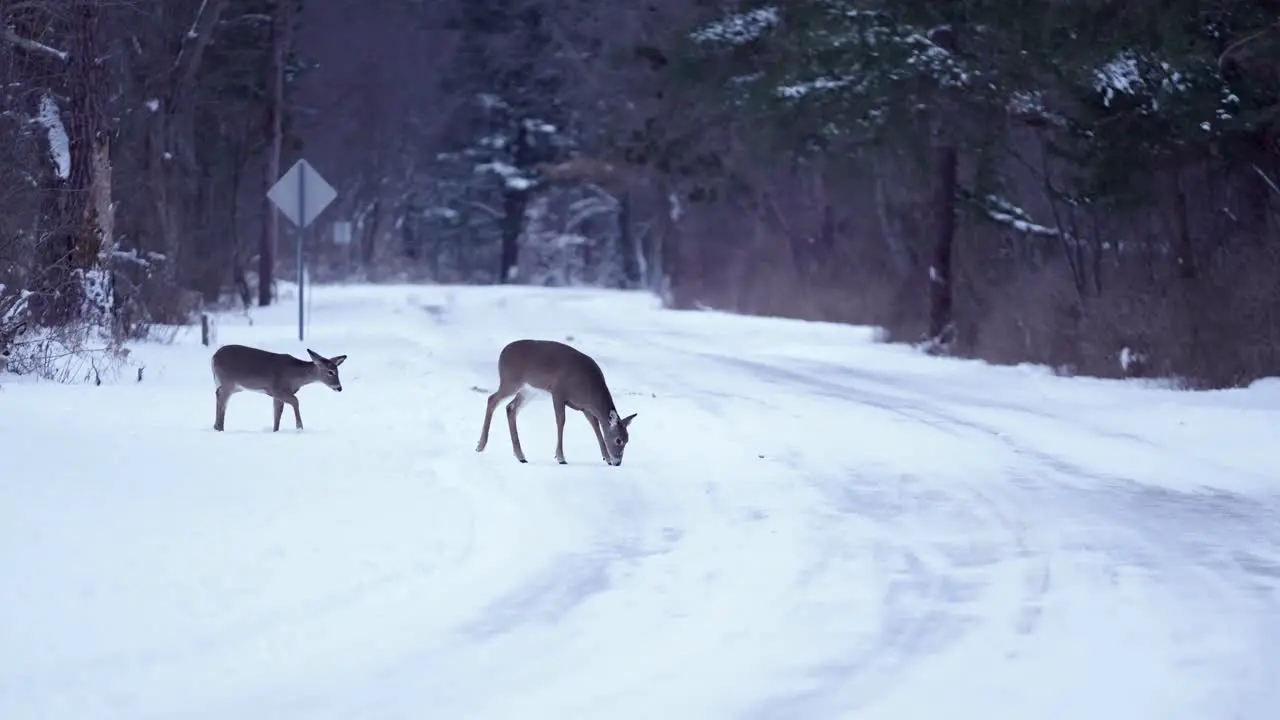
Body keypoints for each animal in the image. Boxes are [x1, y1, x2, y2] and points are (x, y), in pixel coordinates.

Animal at [211, 343, 348, 427]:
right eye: (330, 372)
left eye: (337, 371)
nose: (339, 388)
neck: (295, 376)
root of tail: (213, 357)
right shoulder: (275, 389)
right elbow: (296, 401)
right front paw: (299, 427)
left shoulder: (278, 395)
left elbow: (278, 414)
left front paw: (276, 430)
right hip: (228, 382)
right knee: (221, 398)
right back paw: (219, 427)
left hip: (230, 385)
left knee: (218, 395)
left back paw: (216, 426)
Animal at [476, 338, 640, 466]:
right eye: (618, 440)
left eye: (627, 440)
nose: (618, 463)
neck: (588, 388)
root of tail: (502, 352)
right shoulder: (558, 392)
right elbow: (561, 421)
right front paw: (560, 457)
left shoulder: (585, 408)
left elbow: (595, 427)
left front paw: (606, 458)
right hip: (511, 381)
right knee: (492, 399)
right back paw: (480, 446)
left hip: (529, 390)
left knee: (510, 408)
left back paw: (520, 456)